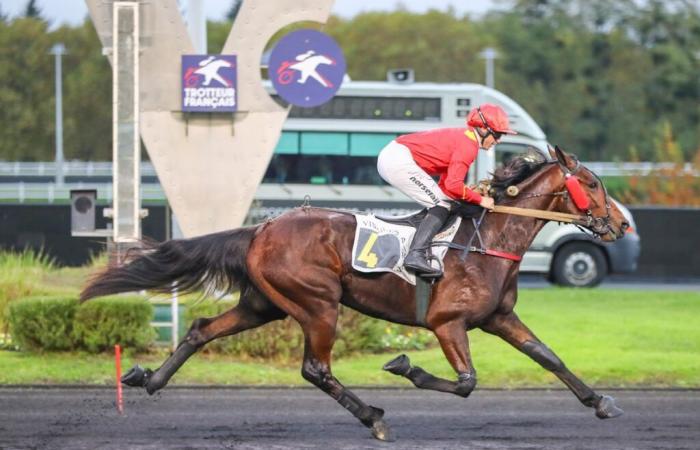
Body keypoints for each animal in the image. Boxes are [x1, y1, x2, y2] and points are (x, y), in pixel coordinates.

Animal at [80, 146, 628, 442]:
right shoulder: (446, 323)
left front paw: (602, 402)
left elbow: (548, 357)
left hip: (264, 304)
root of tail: (261, 229)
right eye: (591, 182)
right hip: (317, 304)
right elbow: (467, 382)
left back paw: (149, 379)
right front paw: (406, 366)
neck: (486, 240)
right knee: (315, 369)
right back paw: (373, 417)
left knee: (201, 330)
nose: (621, 224)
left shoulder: (498, 319)